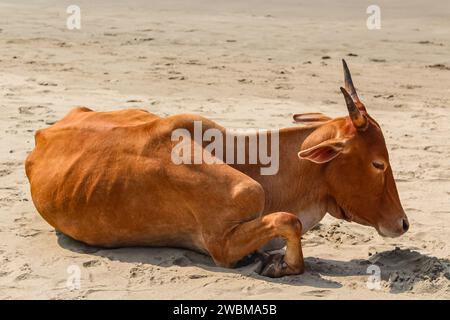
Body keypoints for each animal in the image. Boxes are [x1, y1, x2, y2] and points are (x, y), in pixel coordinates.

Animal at [25, 60, 412, 278]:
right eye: (378, 163)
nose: (403, 223)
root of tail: (43, 134)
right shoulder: (221, 247)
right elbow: (290, 221)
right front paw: (279, 264)